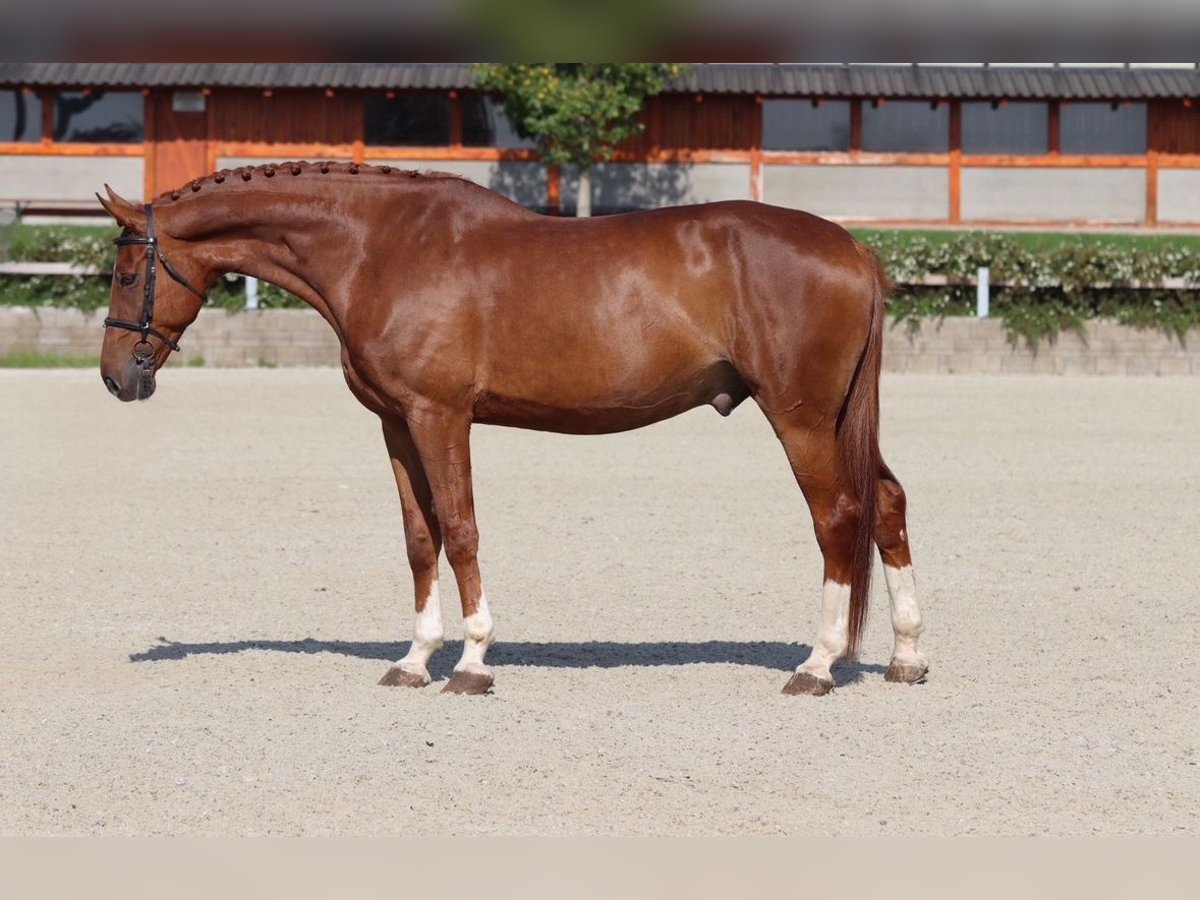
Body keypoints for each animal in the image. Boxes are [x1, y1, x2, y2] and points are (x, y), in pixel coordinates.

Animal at [100, 164, 926, 696]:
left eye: (123, 272)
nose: (116, 378)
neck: (382, 248)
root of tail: (852, 247)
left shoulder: (440, 415)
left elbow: (462, 529)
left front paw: (470, 663)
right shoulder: (396, 423)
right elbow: (420, 538)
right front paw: (413, 660)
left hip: (800, 418)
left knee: (837, 517)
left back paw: (817, 666)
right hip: (838, 420)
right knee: (886, 503)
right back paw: (907, 656)